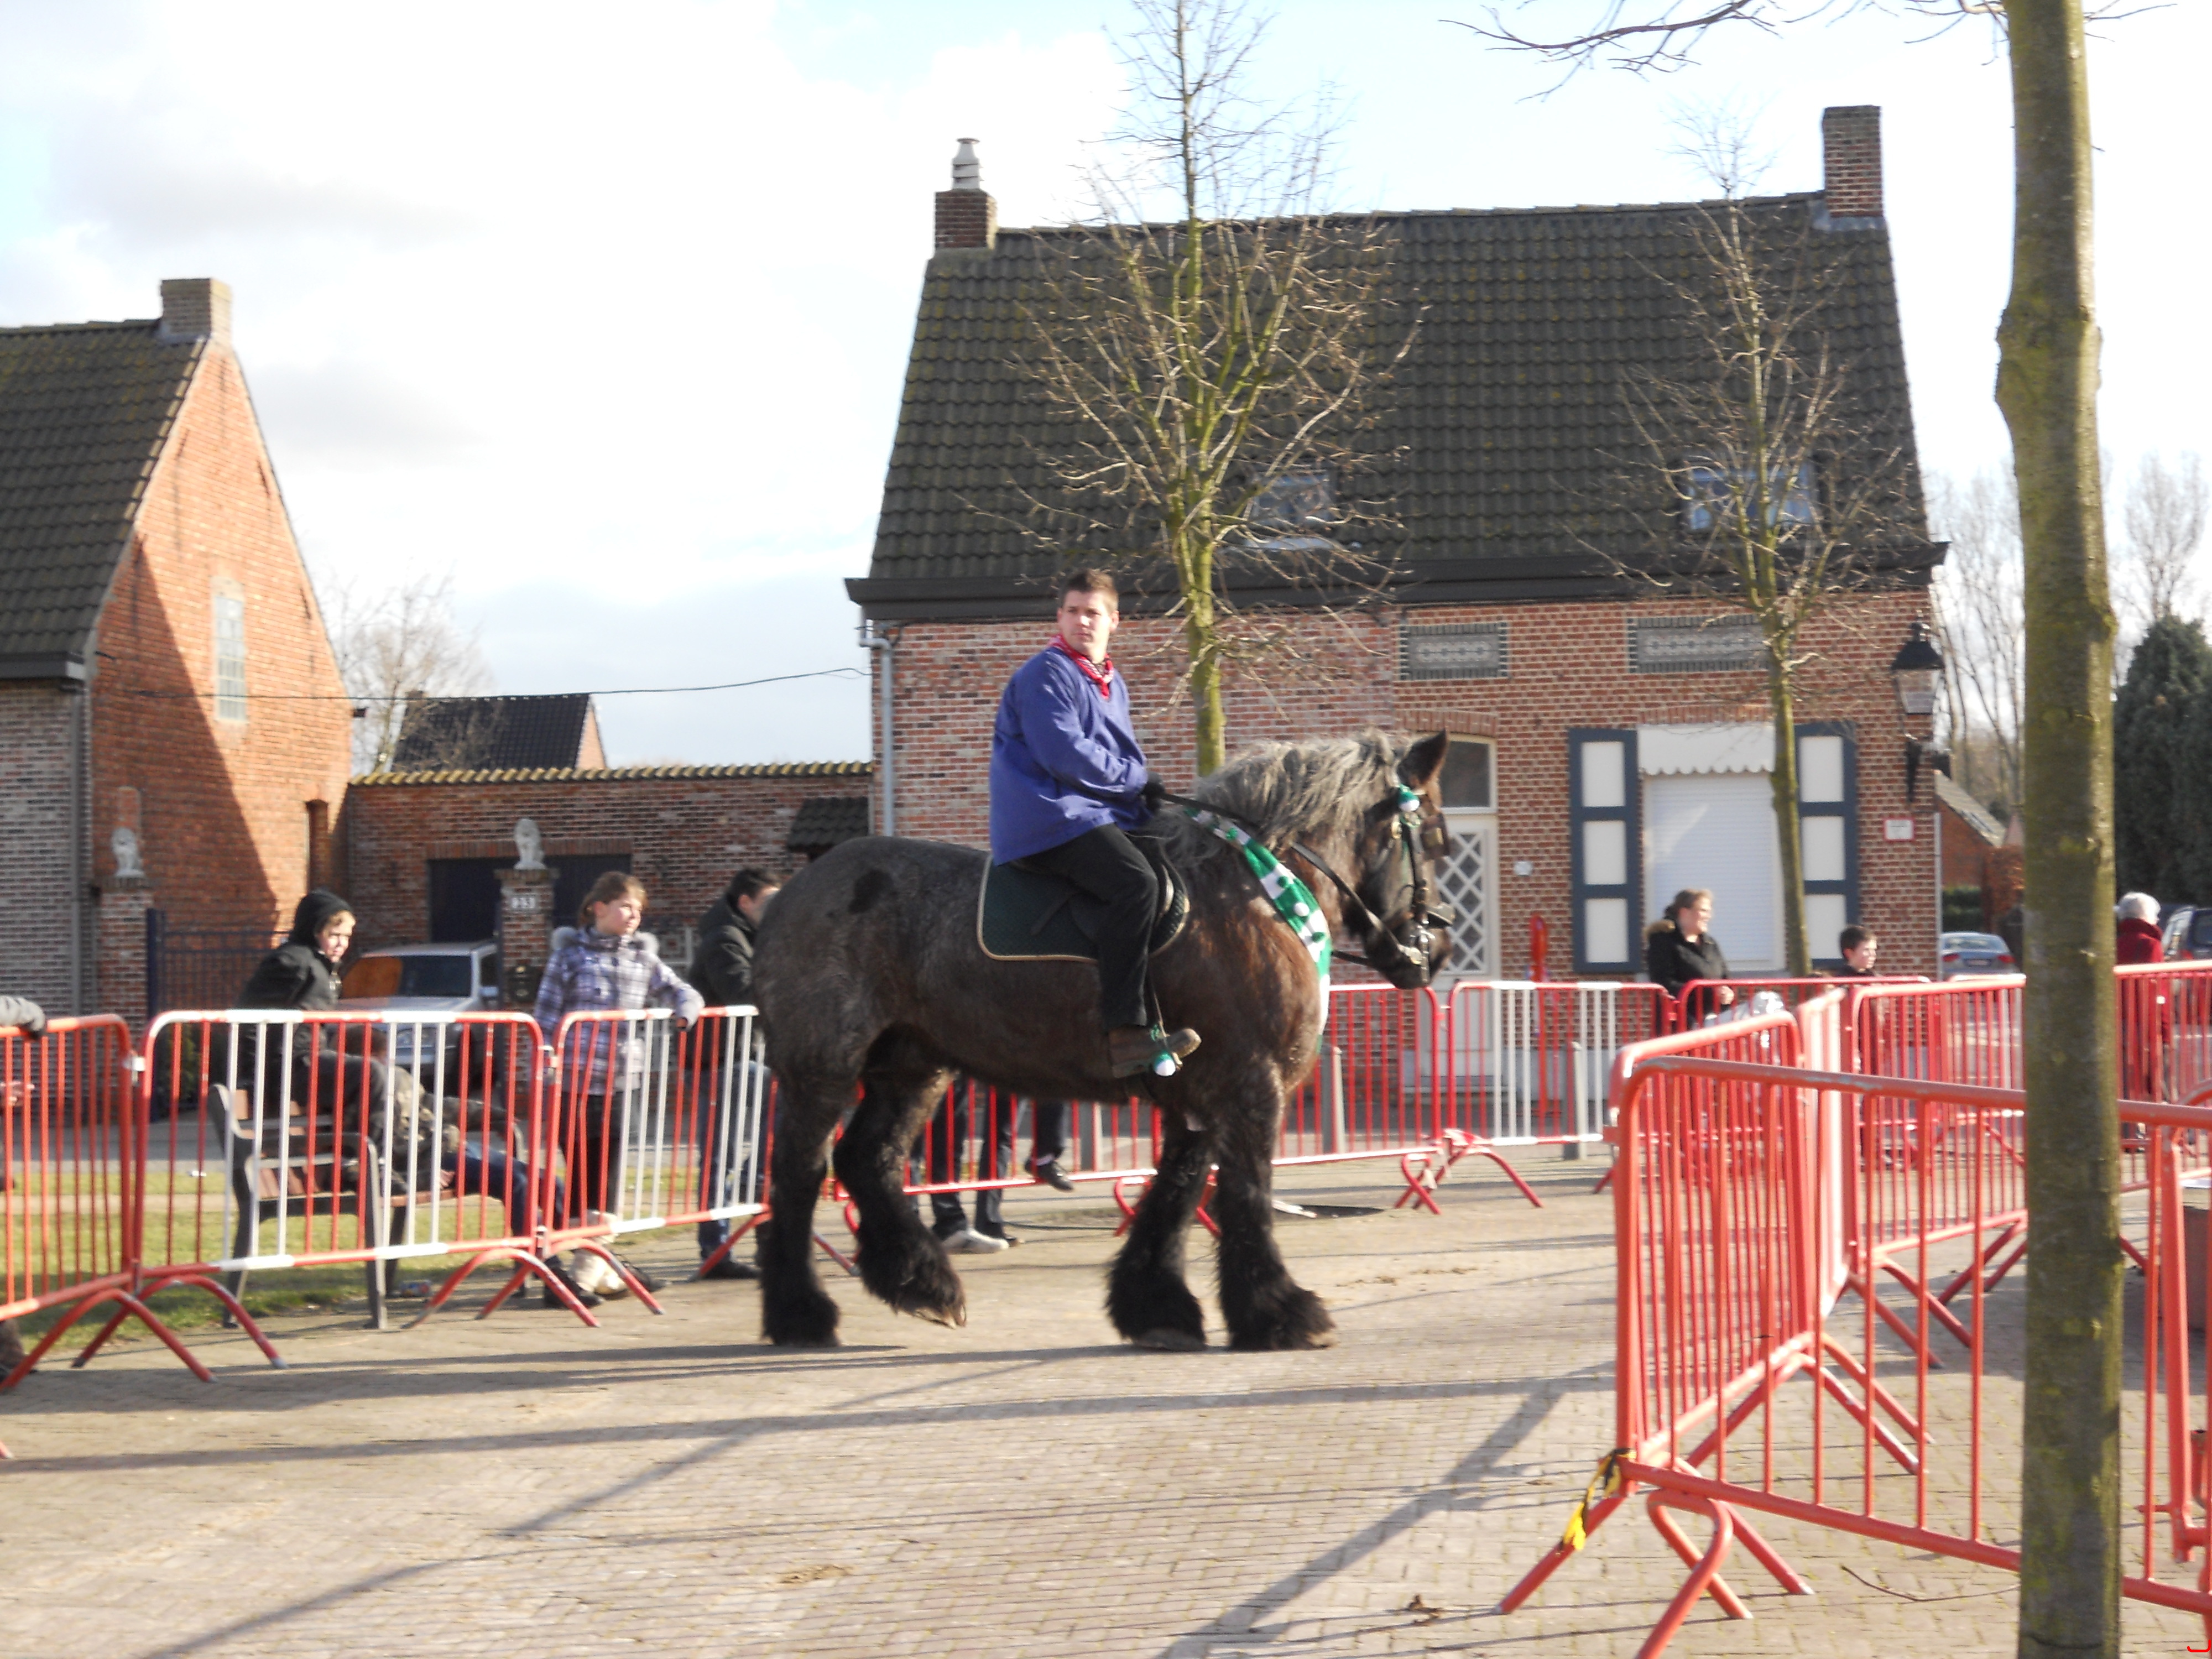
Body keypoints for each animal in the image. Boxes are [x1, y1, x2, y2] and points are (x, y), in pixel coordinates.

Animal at [749, 730, 1454, 1351]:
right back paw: (802, 1312)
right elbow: (1246, 1192)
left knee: (869, 1159)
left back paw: (921, 1284)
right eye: (1436, 839)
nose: (1438, 949)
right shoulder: (1250, 1085)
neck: (1252, 893)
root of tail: (788, 896)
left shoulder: (1200, 1093)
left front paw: (1156, 1306)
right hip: (822, 1069)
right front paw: (1278, 1312)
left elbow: (1176, 1193)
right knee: (799, 1175)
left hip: (912, 1067)